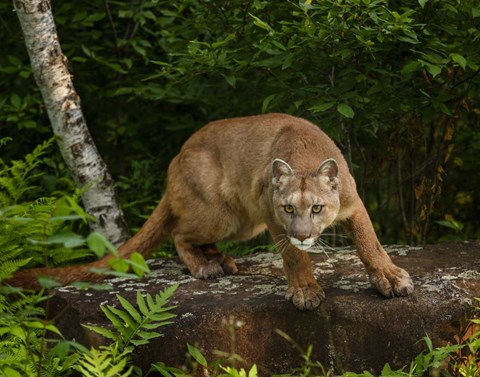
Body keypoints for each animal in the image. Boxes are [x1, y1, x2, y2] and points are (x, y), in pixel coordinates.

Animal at [8, 112, 412, 308]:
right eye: (288, 208)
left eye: (316, 207)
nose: (302, 234)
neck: (305, 155)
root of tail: (176, 157)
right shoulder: (270, 214)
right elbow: (294, 257)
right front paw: (304, 291)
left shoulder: (353, 202)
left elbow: (370, 242)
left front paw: (389, 277)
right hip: (224, 214)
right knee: (178, 232)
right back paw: (205, 265)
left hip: (244, 223)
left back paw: (220, 259)